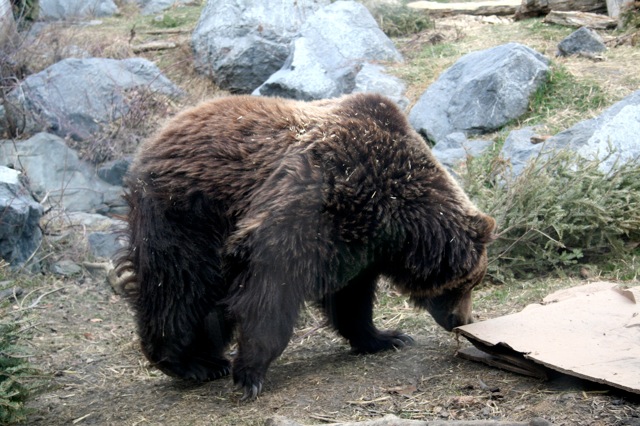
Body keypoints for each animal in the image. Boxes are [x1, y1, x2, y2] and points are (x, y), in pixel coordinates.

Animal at [118, 93, 495, 400]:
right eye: (468, 284)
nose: (463, 318)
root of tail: (154, 138)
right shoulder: (314, 196)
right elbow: (271, 284)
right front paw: (251, 373)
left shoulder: (357, 244)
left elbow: (351, 298)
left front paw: (386, 337)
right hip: (186, 213)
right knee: (178, 285)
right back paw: (191, 362)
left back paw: (208, 357)